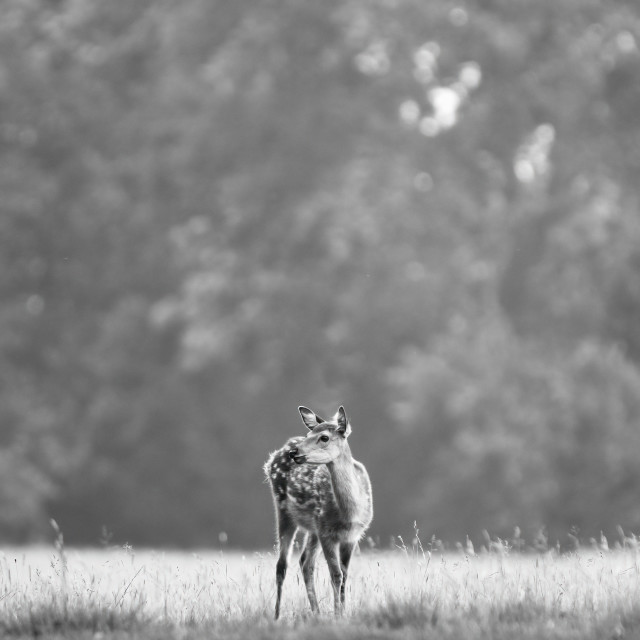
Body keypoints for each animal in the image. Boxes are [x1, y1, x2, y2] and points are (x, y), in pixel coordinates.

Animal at [264, 404, 376, 620]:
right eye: (309, 434)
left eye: (324, 437)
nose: (294, 452)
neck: (349, 513)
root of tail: (274, 456)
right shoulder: (327, 533)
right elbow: (336, 575)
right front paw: (337, 615)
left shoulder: (352, 536)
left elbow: (344, 574)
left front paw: (342, 613)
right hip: (284, 509)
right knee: (282, 565)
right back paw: (277, 616)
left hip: (313, 526)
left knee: (305, 562)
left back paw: (316, 613)